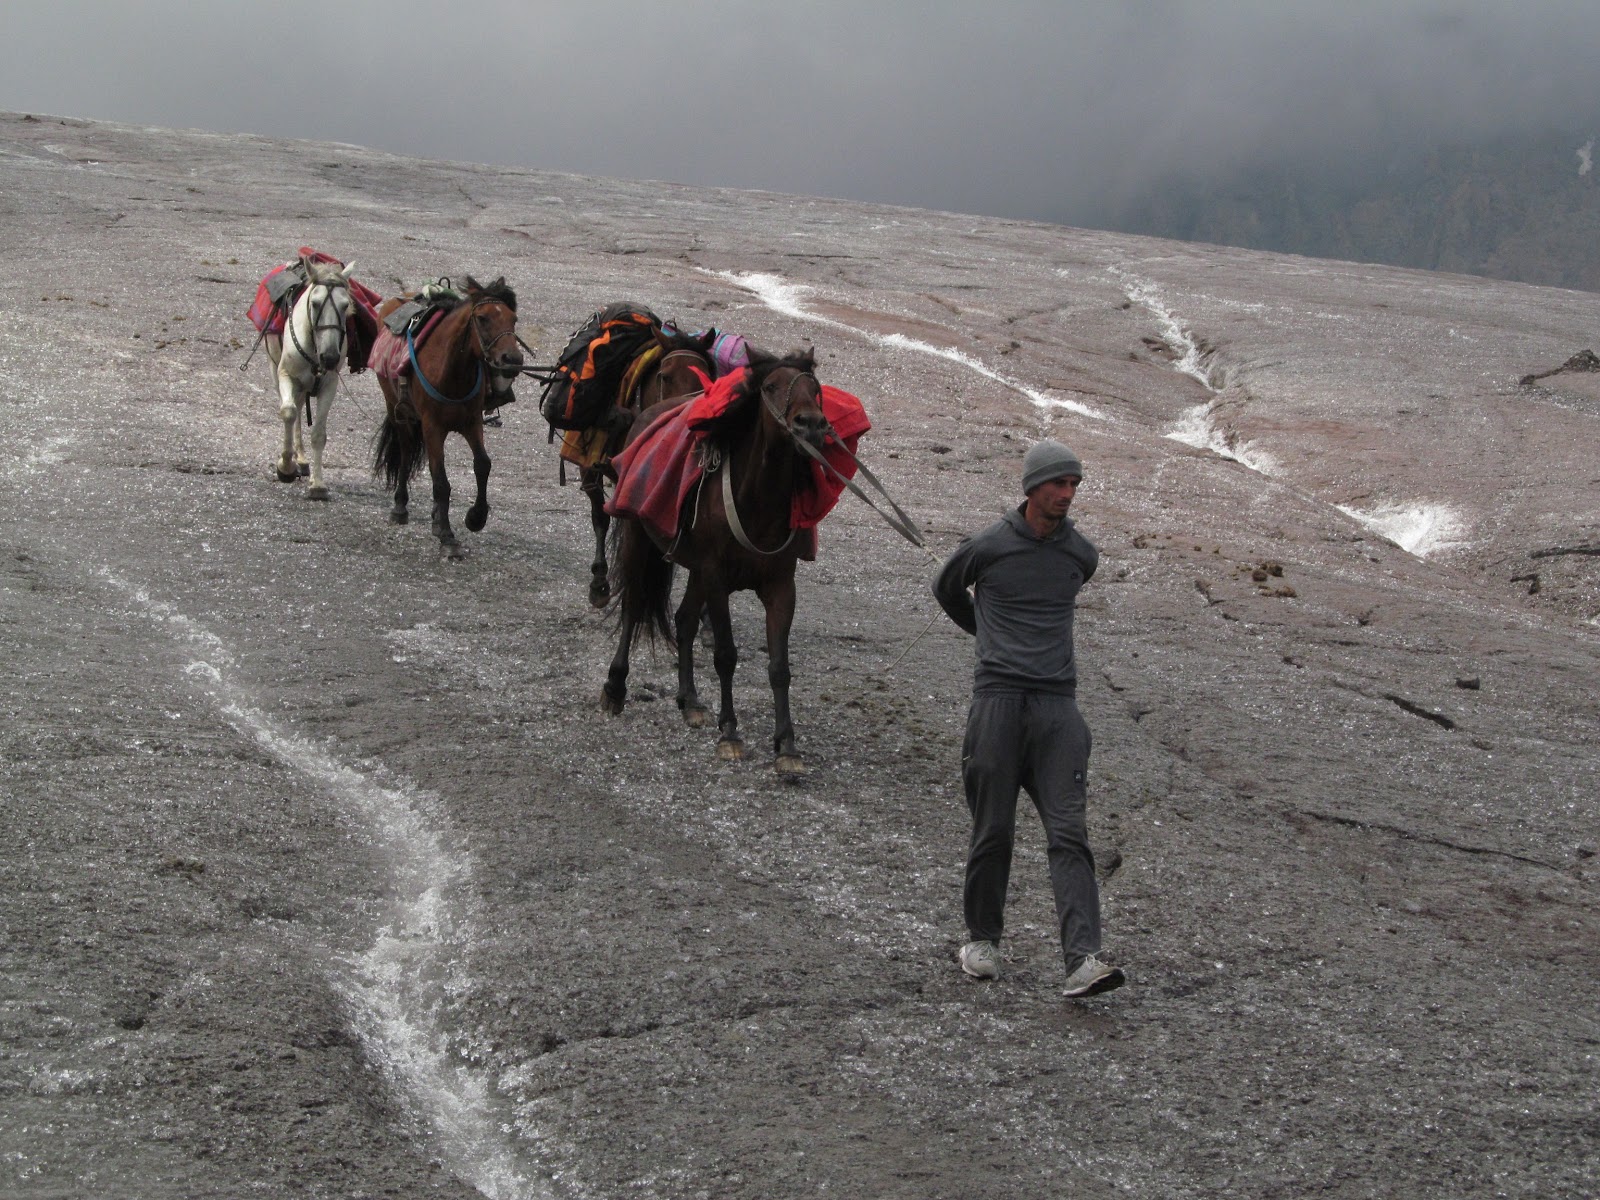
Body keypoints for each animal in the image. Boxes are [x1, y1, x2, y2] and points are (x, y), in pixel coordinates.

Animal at [265, 256, 356, 499]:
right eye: (315, 303)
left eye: (346, 305)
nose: (330, 357)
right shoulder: (286, 375)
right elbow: (288, 413)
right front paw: (285, 467)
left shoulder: (329, 386)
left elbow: (318, 434)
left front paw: (318, 484)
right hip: (276, 370)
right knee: (293, 411)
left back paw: (303, 460)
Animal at [371, 278, 521, 560]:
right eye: (483, 318)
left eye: (513, 319)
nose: (513, 360)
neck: (452, 371)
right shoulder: (433, 426)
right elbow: (440, 479)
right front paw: (447, 535)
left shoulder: (472, 422)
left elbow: (482, 464)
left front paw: (476, 517)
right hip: (398, 409)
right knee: (405, 451)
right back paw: (400, 507)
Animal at [598, 347, 825, 780]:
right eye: (771, 386)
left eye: (816, 388)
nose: (811, 424)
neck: (757, 502)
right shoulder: (718, 578)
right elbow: (725, 655)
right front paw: (731, 734)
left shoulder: (779, 586)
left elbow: (779, 666)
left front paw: (787, 745)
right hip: (640, 538)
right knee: (634, 607)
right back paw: (615, 688)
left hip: (696, 569)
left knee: (684, 620)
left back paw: (690, 701)